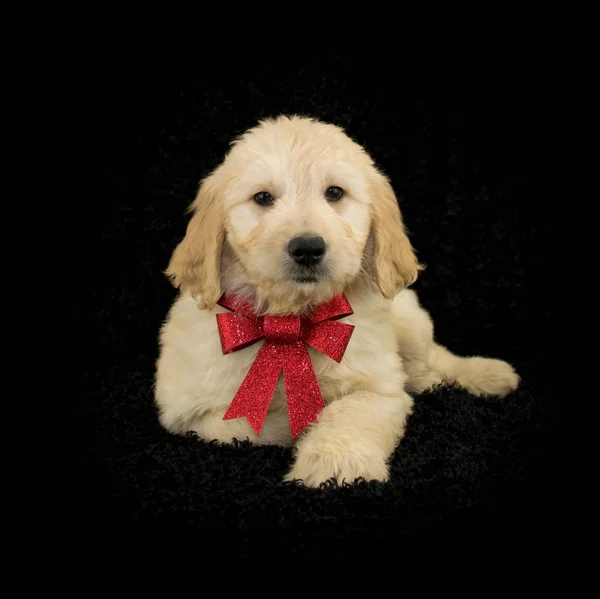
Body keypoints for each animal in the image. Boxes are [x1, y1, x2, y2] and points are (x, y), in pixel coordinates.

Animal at [156, 116, 520, 488]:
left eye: (334, 193)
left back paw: (486, 374)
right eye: (262, 197)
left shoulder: (378, 388)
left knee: (432, 361)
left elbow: (350, 412)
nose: (307, 248)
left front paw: (336, 462)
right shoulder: (188, 412)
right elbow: (246, 425)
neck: (292, 323)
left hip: (410, 323)